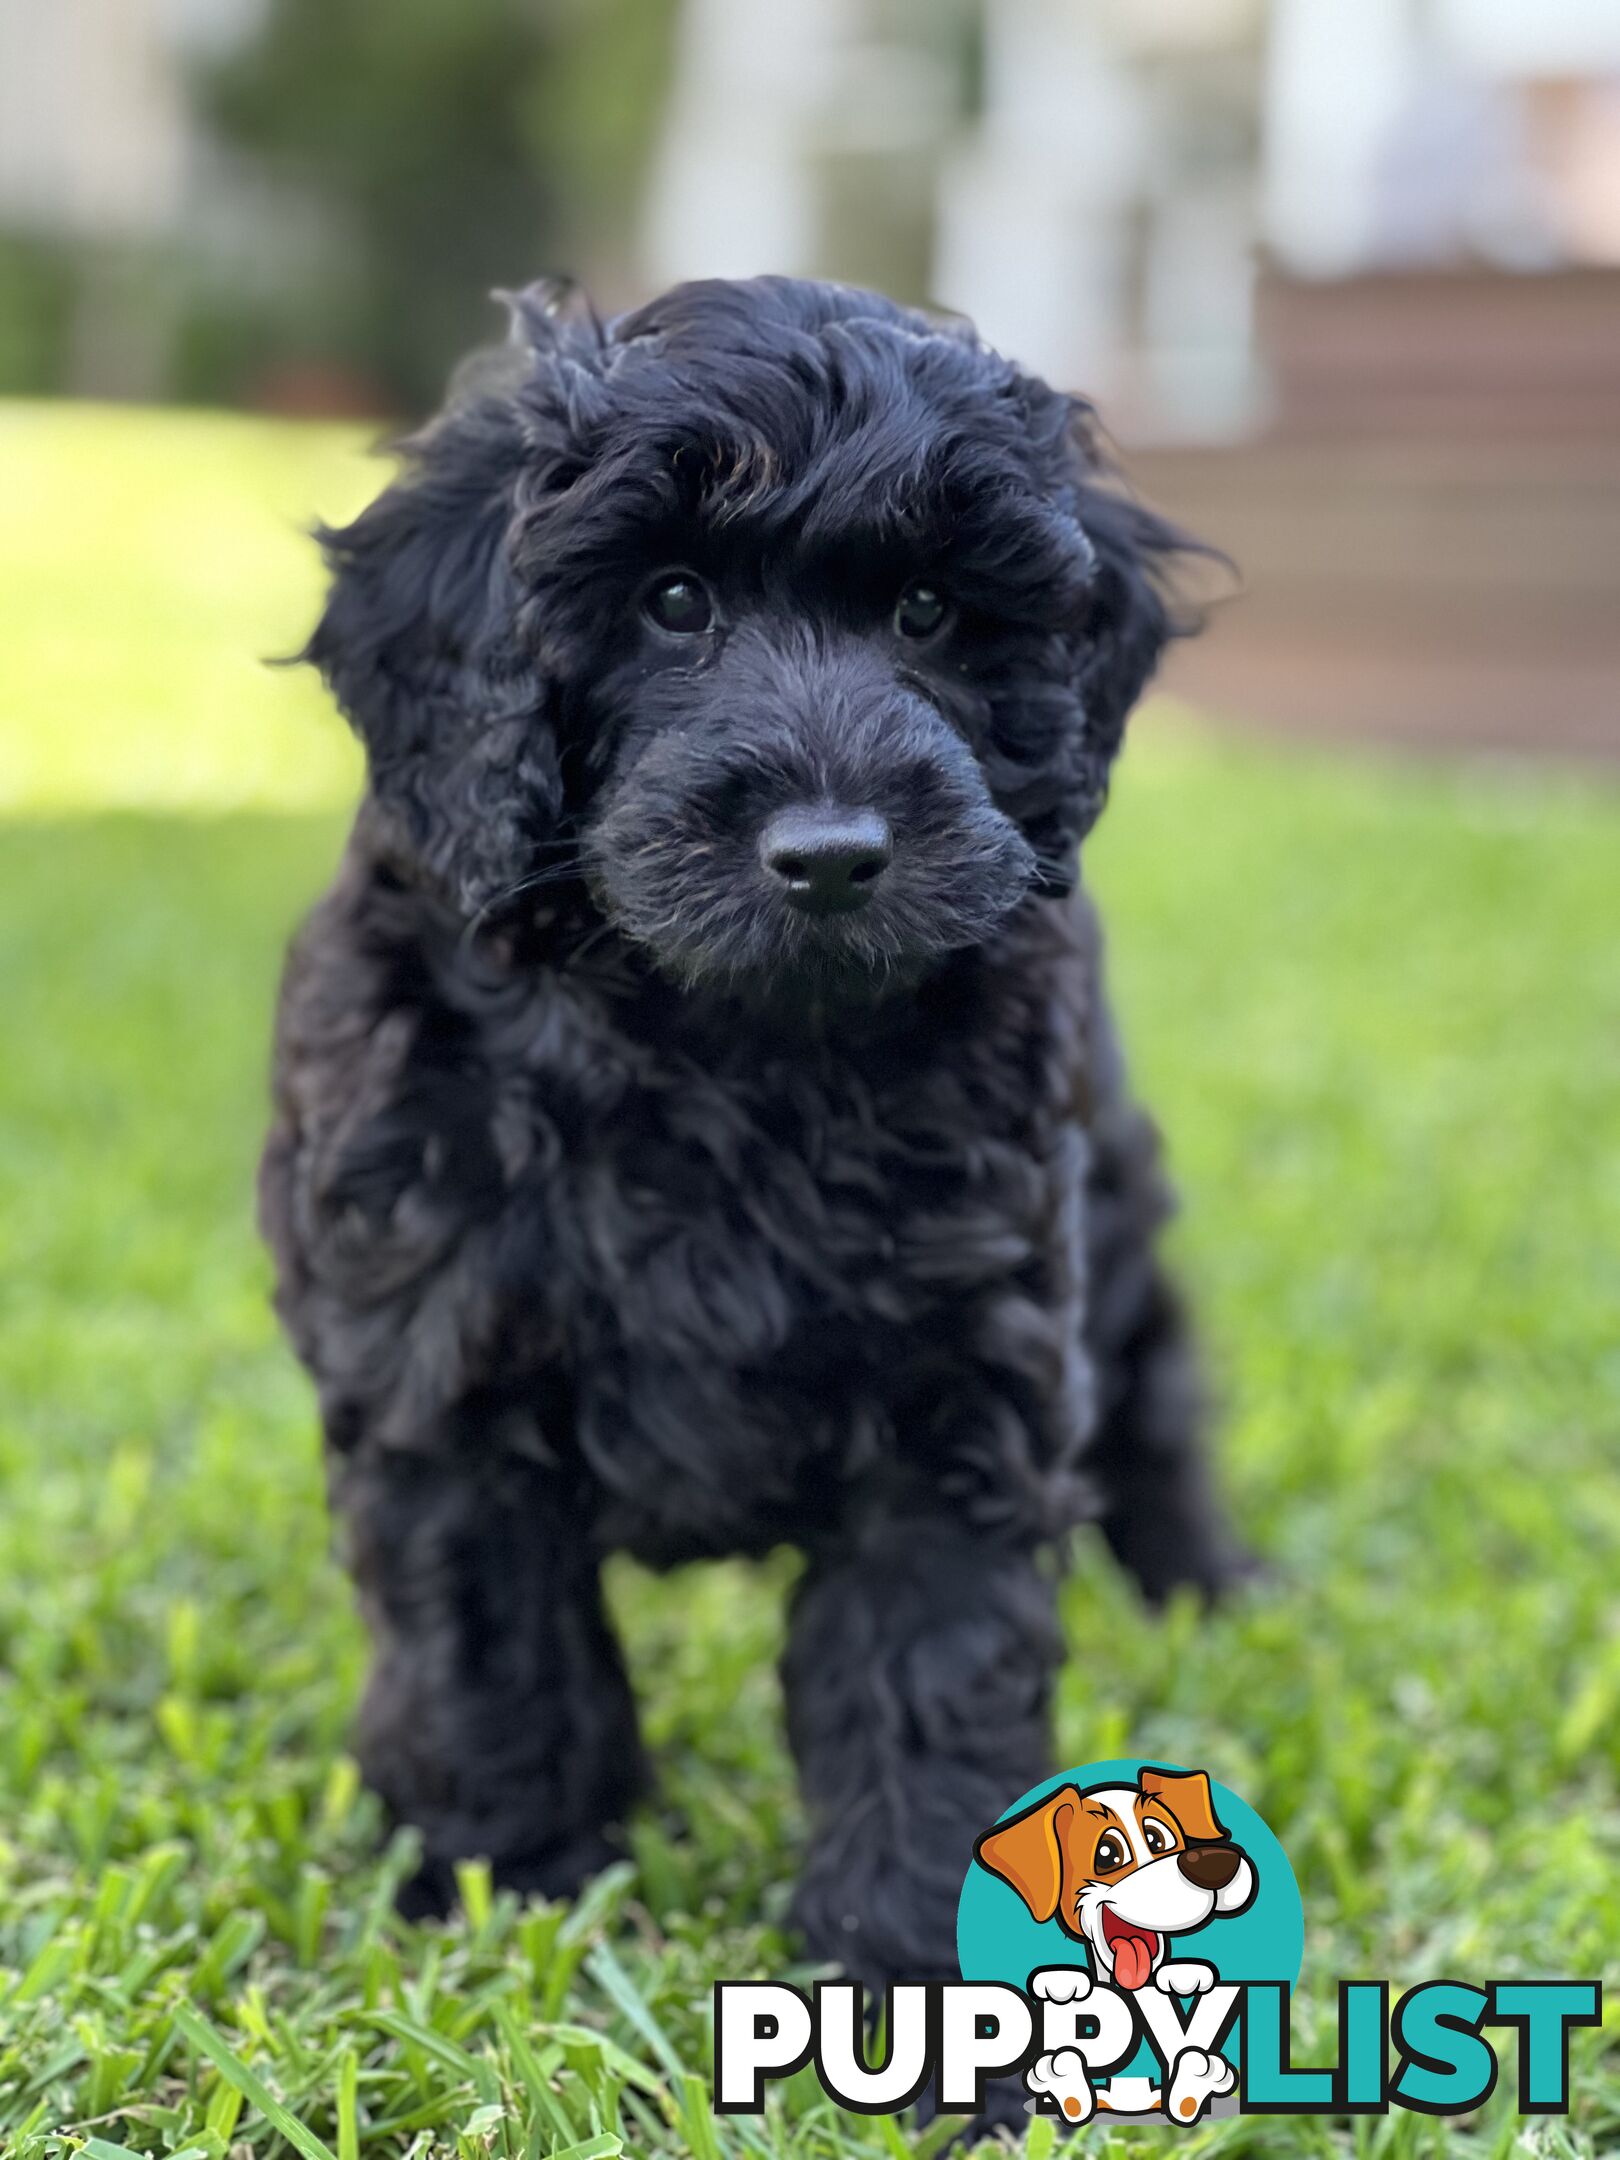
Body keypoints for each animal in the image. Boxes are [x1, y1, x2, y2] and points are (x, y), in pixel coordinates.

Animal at [263, 278, 1252, 1978]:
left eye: (927, 613)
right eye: (670, 601)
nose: (836, 853)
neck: (722, 1037)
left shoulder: (963, 1381)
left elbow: (928, 1675)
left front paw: (921, 1974)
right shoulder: (439, 1367)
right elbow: (489, 1656)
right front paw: (502, 1888)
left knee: (1155, 1388)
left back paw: (1214, 1591)